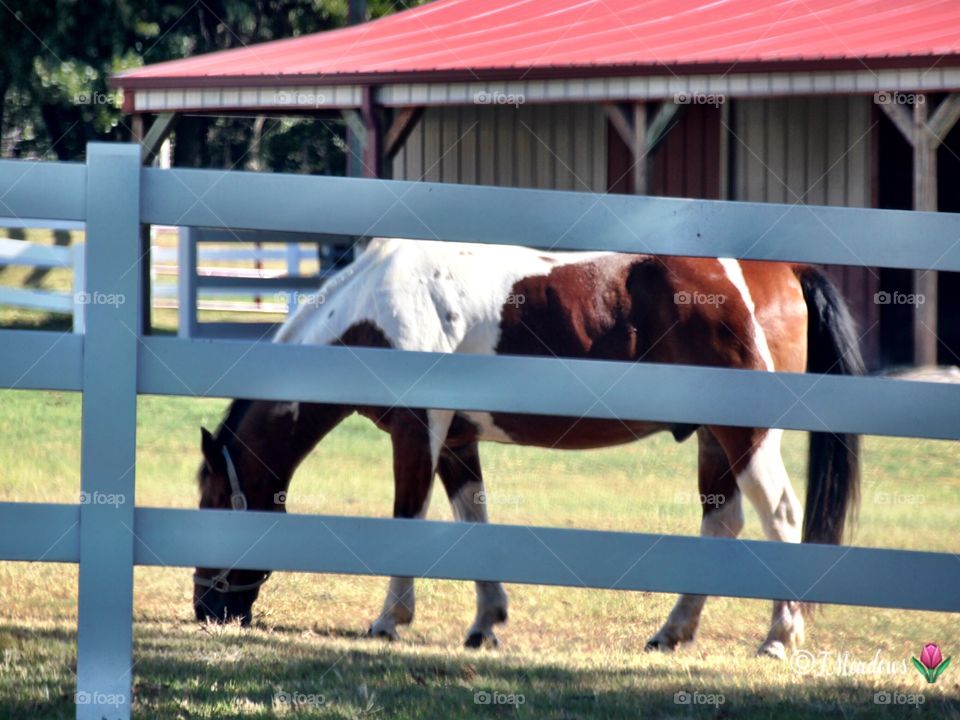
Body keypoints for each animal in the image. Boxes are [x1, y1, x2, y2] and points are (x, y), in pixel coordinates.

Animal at [194, 237, 863, 658]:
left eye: (210, 504)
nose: (207, 610)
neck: (375, 313)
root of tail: (776, 272)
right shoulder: (456, 441)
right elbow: (473, 520)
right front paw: (485, 624)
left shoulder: (418, 432)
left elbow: (407, 518)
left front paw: (388, 621)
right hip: (713, 440)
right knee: (722, 523)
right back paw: (671, 633)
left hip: (747, 438)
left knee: (781, 517)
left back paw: (777, 638)